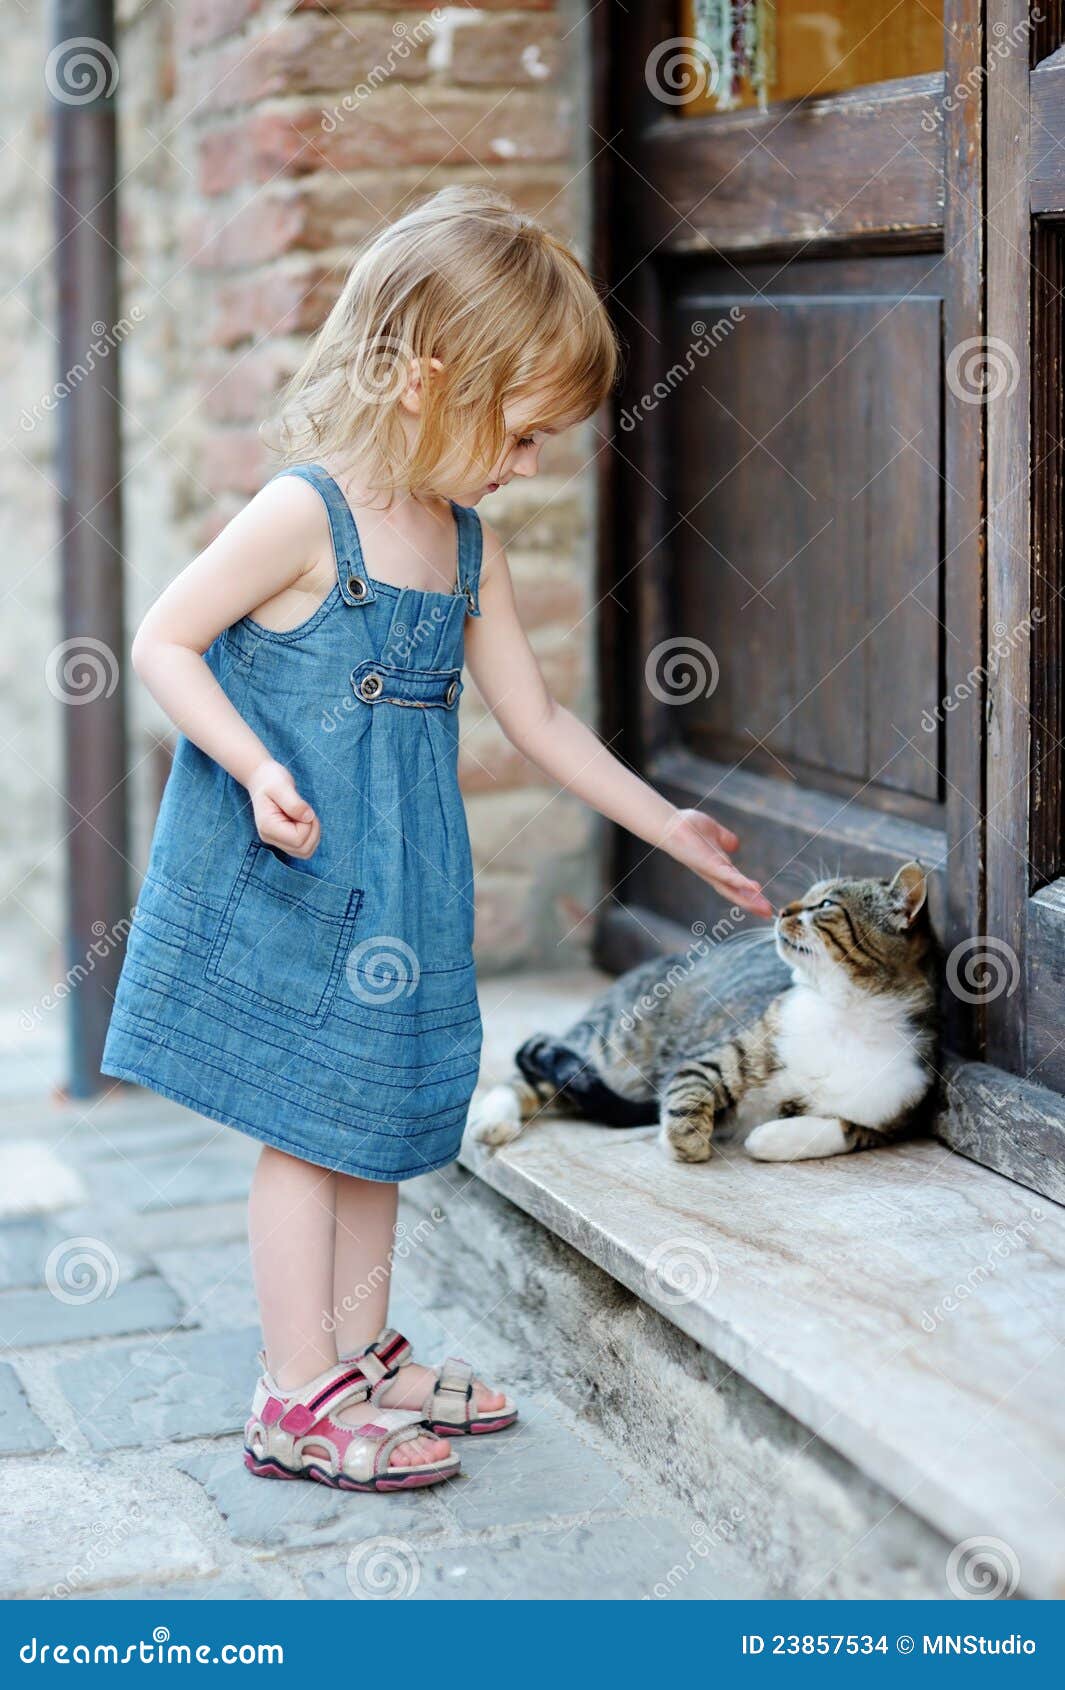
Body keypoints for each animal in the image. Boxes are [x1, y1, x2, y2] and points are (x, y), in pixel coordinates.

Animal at [469, 858, 939, 1162]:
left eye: (825, 905)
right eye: (805, 897)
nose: (780, 910)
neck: (842, 1013)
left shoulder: (895, 1114)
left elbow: (841, 1129)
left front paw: (771, 1138)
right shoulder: (711, 1058)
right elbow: (688, 1097)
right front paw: (684, 1140)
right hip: (613, 1049)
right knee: (527, 1075)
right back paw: (492, 1121)